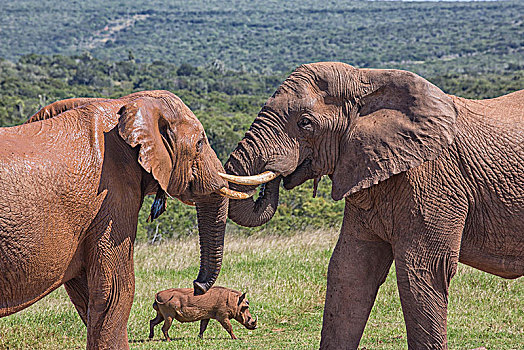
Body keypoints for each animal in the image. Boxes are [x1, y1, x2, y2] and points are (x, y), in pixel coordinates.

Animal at [0, 91, 250, 348]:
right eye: (200, 143)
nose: (197, 286)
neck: (125, 104)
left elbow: (87, 293)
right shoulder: (111, 197)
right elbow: (117, 289)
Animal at [218, 63, 524, 350]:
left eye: (305, 123)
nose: (278, 173)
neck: (366, 80)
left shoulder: (435, 182)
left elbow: (423, 269)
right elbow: (349, 268)